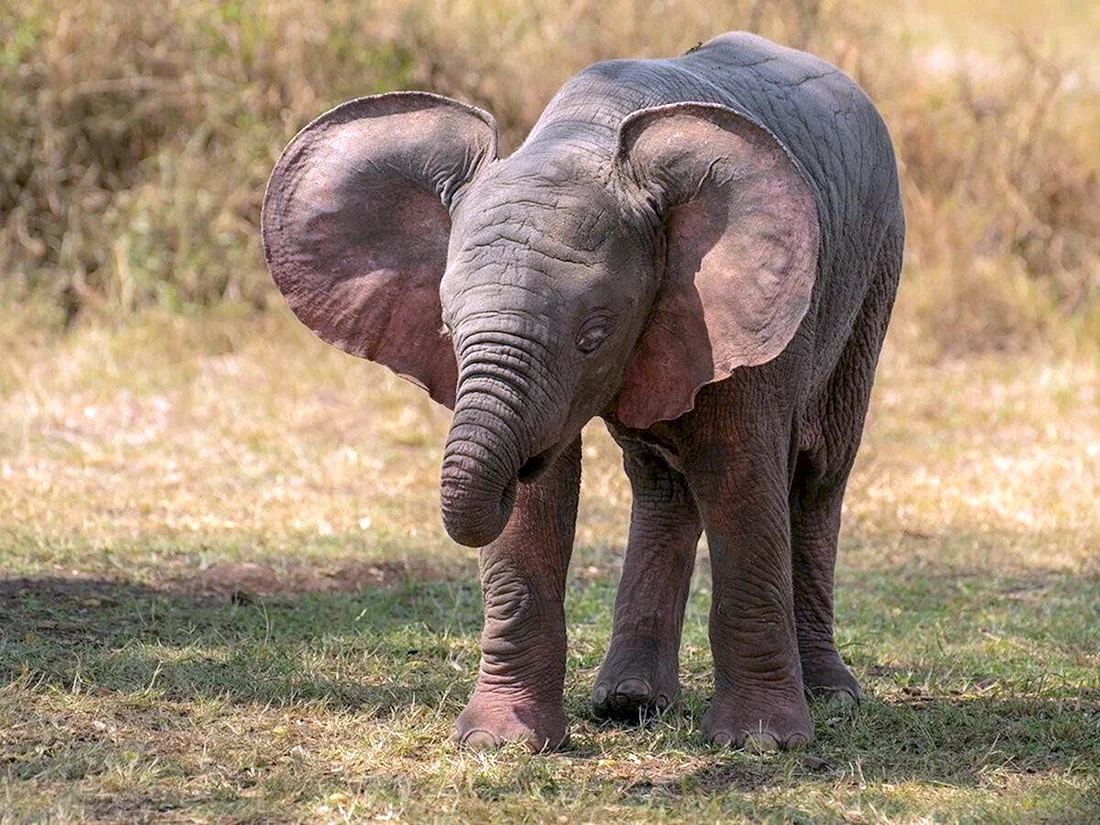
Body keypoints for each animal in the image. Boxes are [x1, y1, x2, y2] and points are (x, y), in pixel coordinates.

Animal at [262, 31, 905, 752]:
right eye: (448, 327)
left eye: (593, 336)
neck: (584, 138)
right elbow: (539, 504)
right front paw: (502, 743)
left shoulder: (740, 312)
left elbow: (741, 480)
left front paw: (759, 741)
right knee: (663, 484)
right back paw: (630, 702)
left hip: (874, 273)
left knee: (818, 477)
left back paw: (830, 696)